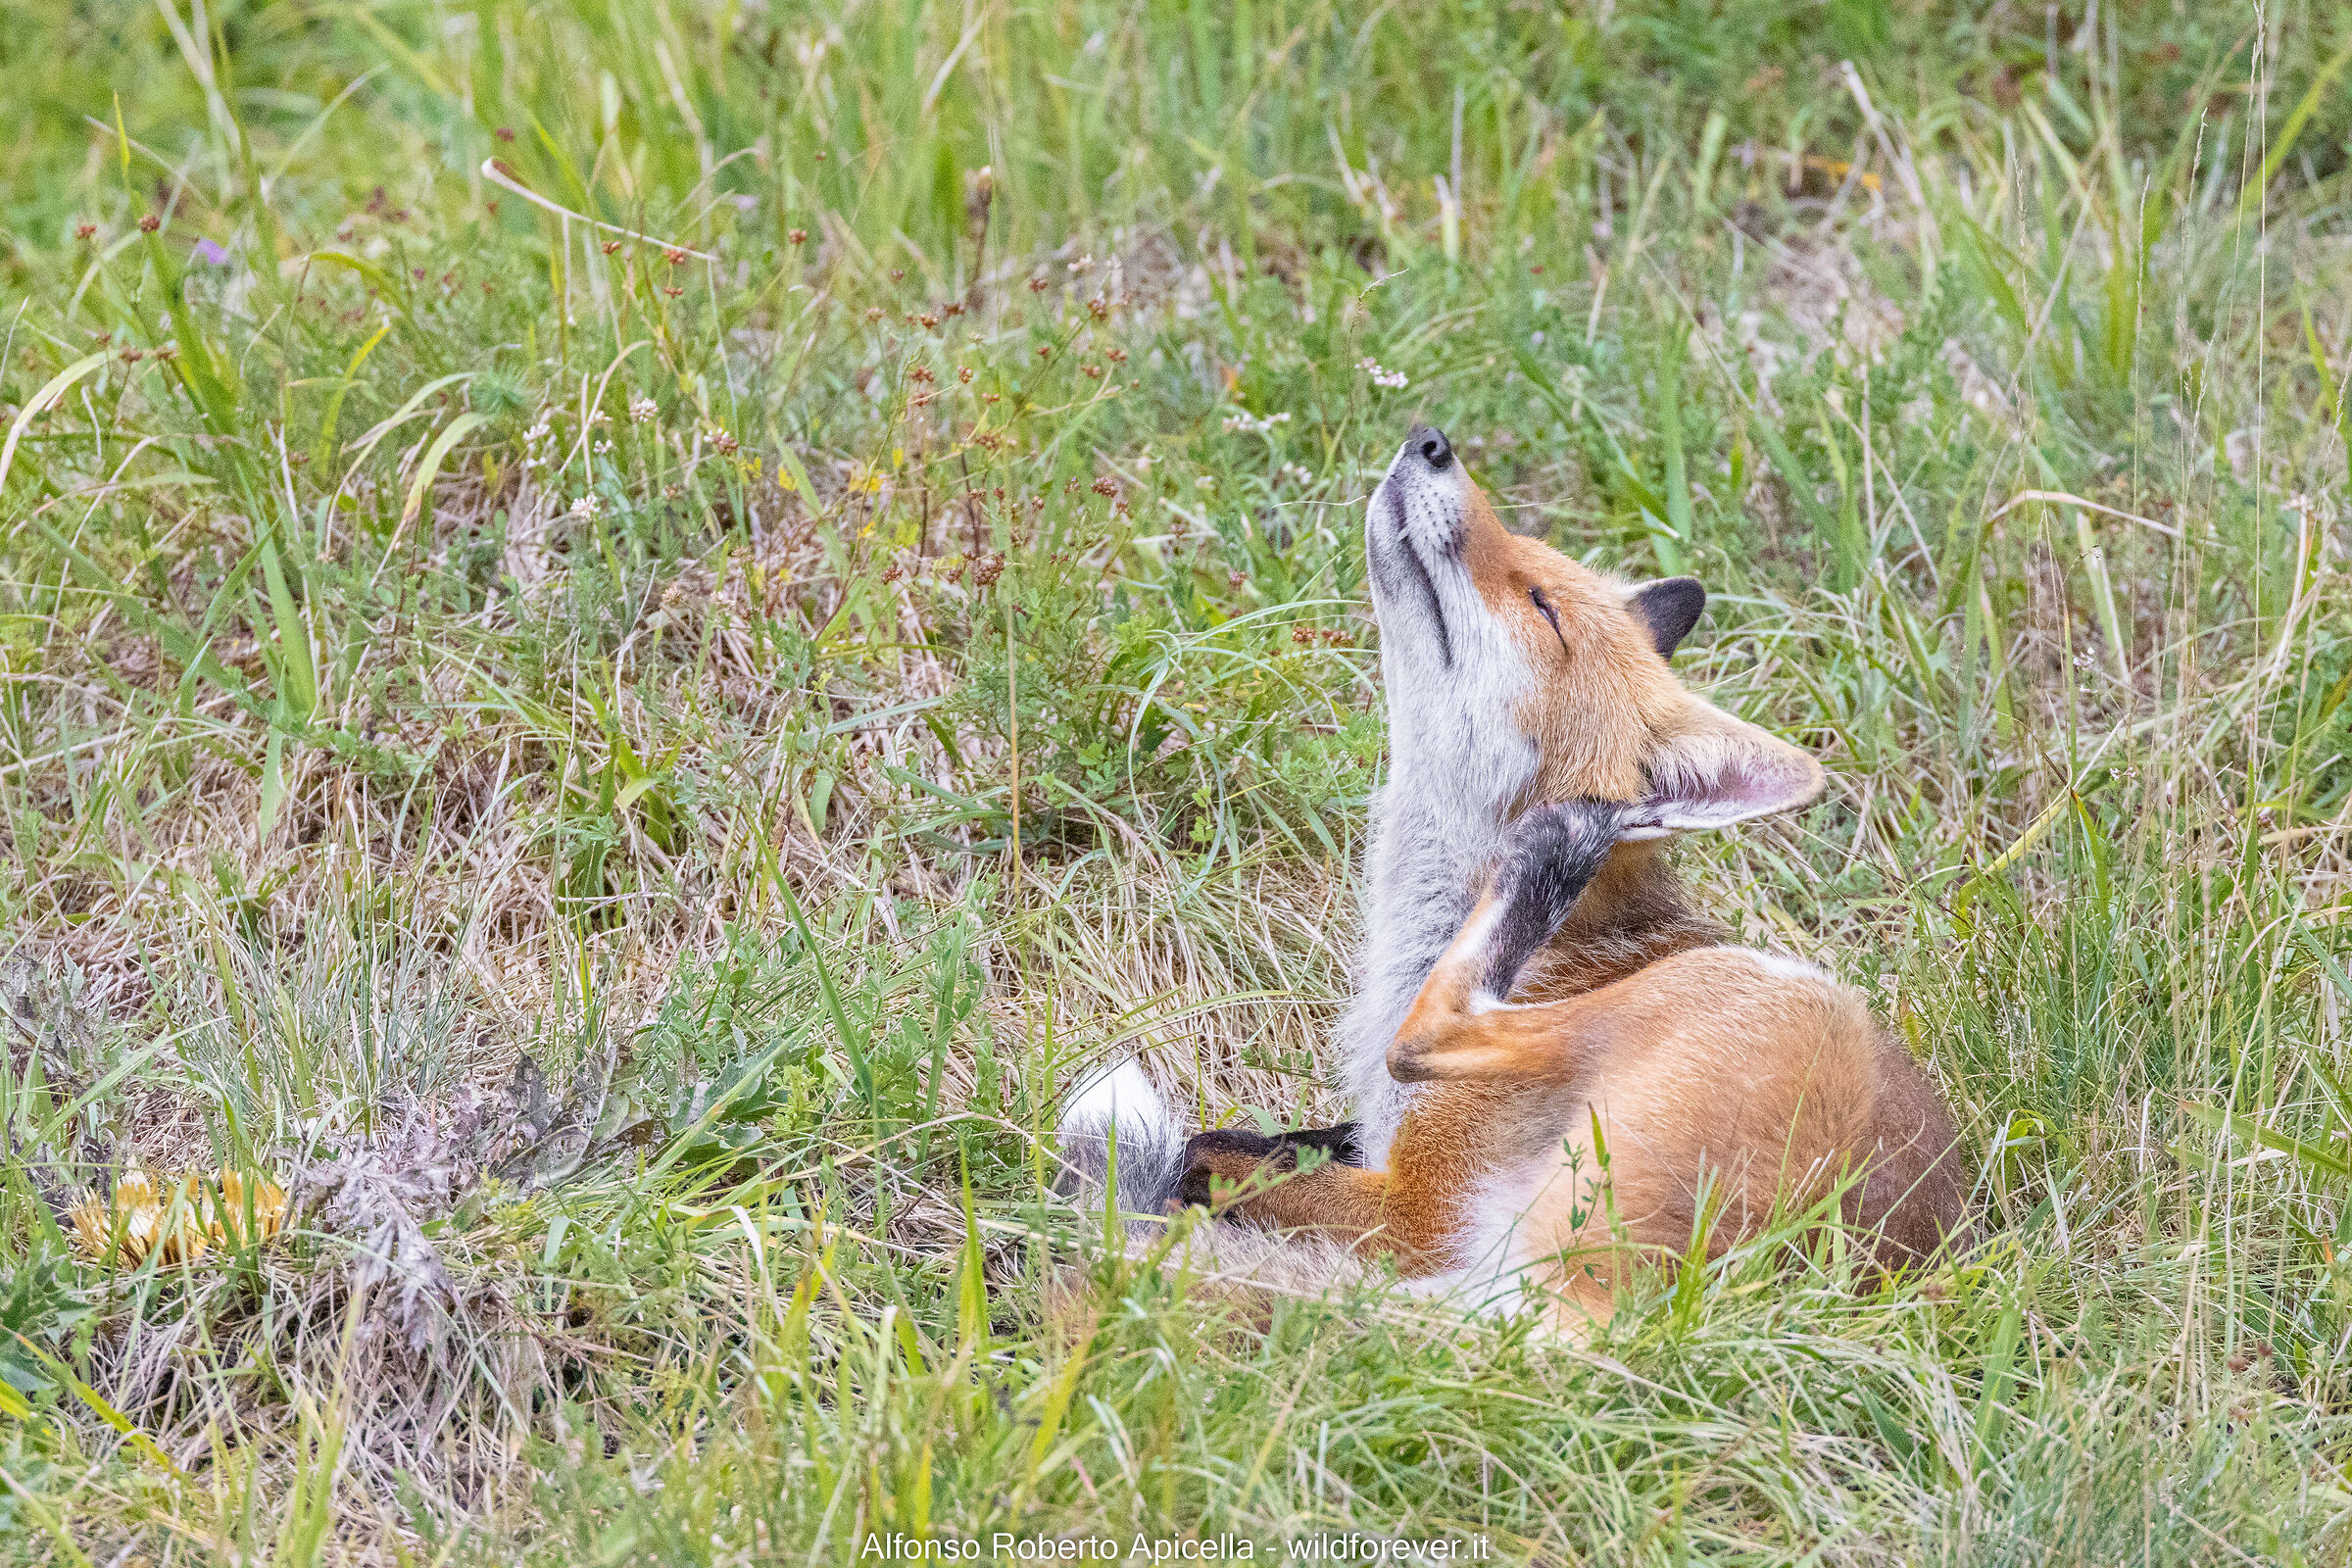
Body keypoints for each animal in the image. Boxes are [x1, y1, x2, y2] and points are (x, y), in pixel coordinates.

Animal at [1059, 424, 1964, 1329]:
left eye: (1542, 607)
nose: (1430, 441)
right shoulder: (1380, 1141)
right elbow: (1274, 1138)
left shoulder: (1418, 1211)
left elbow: (1211, 1151)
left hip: (1763, 987)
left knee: (1430, 1034)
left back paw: (1556, 855)